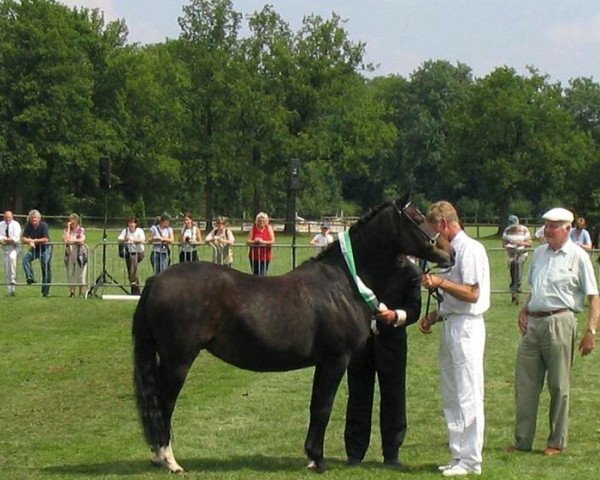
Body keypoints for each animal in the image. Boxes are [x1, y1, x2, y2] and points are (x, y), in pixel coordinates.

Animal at [130, 194, 450, 472]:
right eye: (418, 218)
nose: (449, 253)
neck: (344, 282)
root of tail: (156, 279)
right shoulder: (336, 359)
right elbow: (323, 407)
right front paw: (318, 460)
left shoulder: (325, 362)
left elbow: (315, 405)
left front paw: (311, 457)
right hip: (178, 361)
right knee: (163, 404)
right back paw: (169, 461)